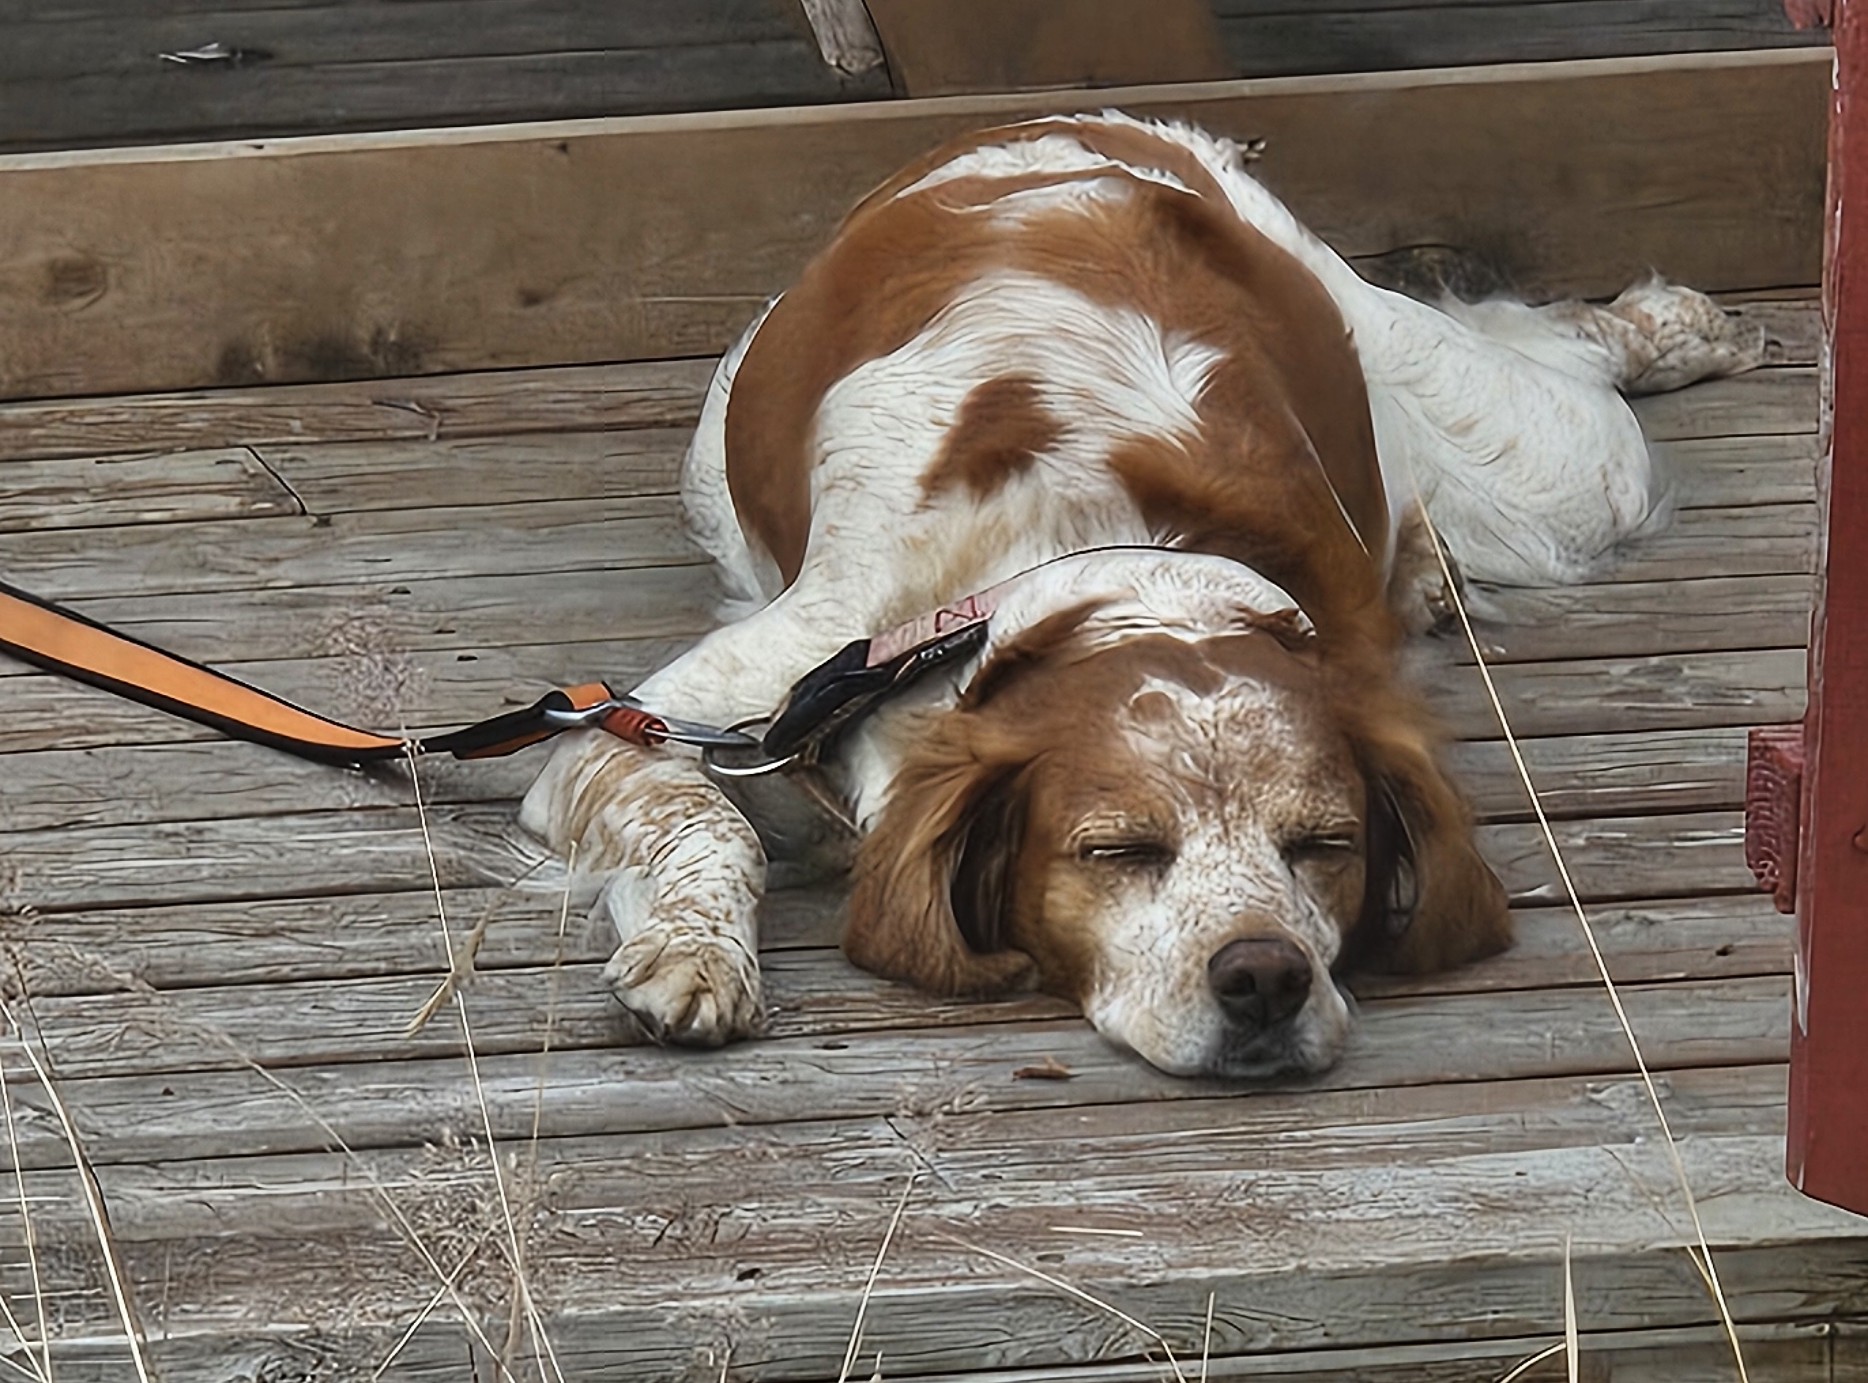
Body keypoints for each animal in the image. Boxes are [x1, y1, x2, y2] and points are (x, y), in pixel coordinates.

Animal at [518, 112, 1760, 1079]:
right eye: (1115, 853)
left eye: (1323, 843)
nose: (1263, 977)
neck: (1097, 557)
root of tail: (1072, 122)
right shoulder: (642, 719)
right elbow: (704, 818)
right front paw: (695, 957)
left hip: (1551, 466)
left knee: (1557, 358)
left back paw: (1662, 333)